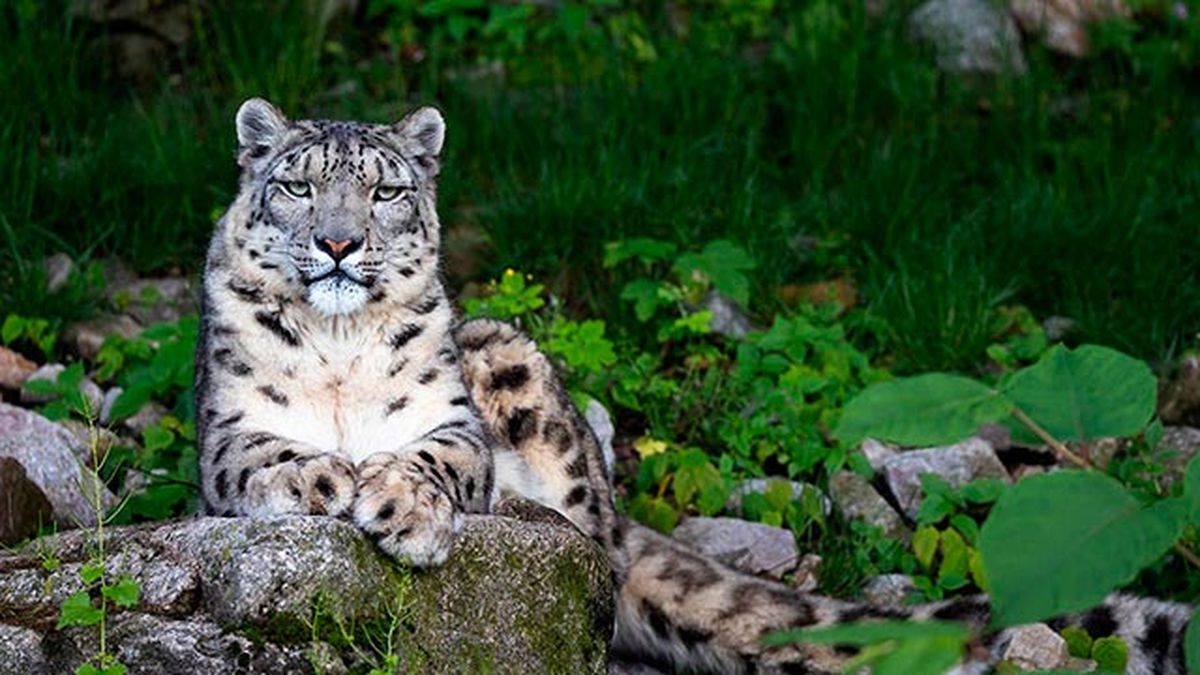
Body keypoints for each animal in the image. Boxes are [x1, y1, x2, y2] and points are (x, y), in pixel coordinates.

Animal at [195, 98, 1193, 674]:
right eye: (296, 185)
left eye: (386, 192)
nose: (337, 243)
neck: (339, 350)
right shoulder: (222, 430)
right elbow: (258, 454)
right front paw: (323, 476)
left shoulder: (455, 420)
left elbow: (440, 454)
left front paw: (400, 505)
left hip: (515, 367)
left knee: (595, 560)